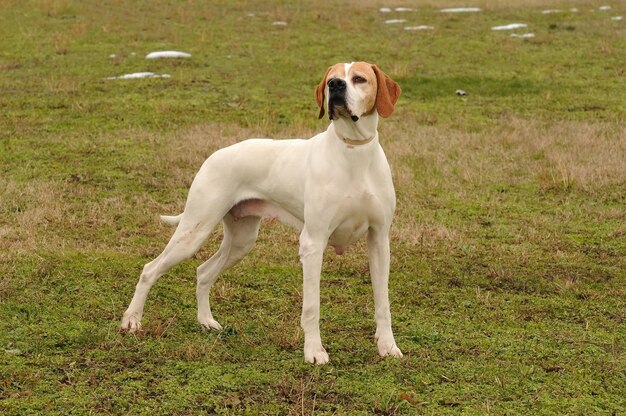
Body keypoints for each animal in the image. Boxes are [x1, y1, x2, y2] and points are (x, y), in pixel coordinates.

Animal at [121, 61, 402, 364]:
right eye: (332, 79)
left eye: (359, 79)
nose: (335, 86)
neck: (352, 149)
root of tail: (213, 156)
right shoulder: (313, 242)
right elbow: (311, 307)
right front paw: (314, 351)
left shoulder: (379, 240)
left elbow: (383, 303)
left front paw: (388, 346)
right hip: (194, 231)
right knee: (150, 269)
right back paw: (132, 321)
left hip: (241, 241)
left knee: (204, 271)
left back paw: (206, 321)